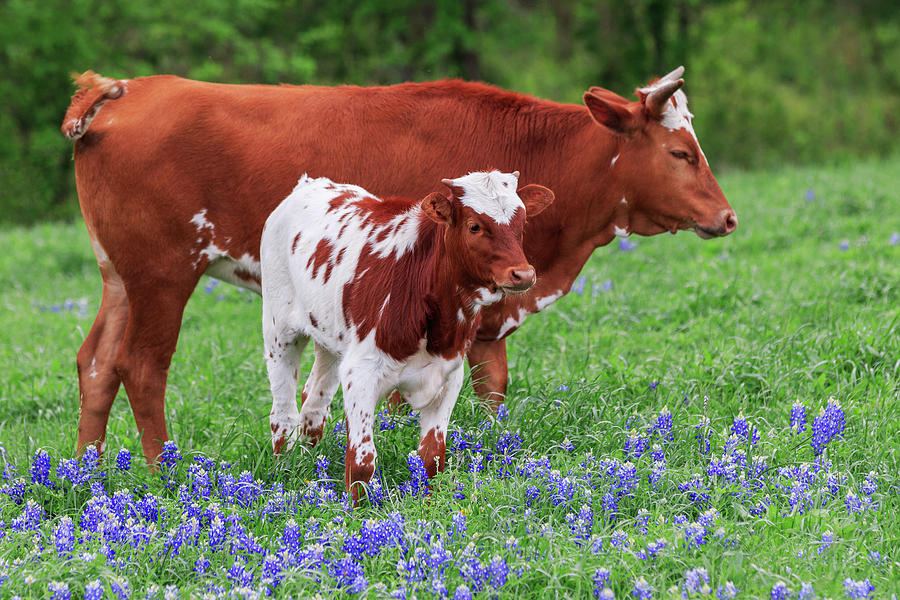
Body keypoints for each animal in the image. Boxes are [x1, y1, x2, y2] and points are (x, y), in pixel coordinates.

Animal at [63, 65, 740, 462]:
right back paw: (162, 469)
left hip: (119, 279)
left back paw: (88, 470)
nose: (728, 217)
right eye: (681, 152)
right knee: (140, 367)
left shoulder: (484, 314)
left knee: (96, 365)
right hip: (162, 277)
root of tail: (127, 89)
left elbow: (490, 390)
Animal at [262, 170, 556, 502]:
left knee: (313, 404)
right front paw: (356, 512)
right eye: (474, 226)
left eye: (522, 224)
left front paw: (429, 505)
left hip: (330, 343)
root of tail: (309, 184)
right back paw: (283, 473)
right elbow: (362, 461)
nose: (523, 274)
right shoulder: (360, 373)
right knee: (283, 413)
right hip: (279, 333)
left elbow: (432, 457)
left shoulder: (449, 376)